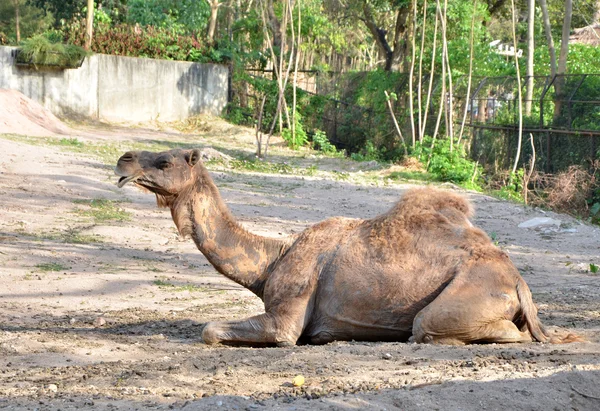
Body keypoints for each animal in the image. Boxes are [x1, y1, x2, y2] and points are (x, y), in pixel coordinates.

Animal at [113, 150, 580, 346]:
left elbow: (212, 330)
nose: (124, 159)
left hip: (465, 297)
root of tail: (519, 283)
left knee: (431, 327)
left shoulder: (287, 315)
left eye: (165, 162)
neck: (273, 260)